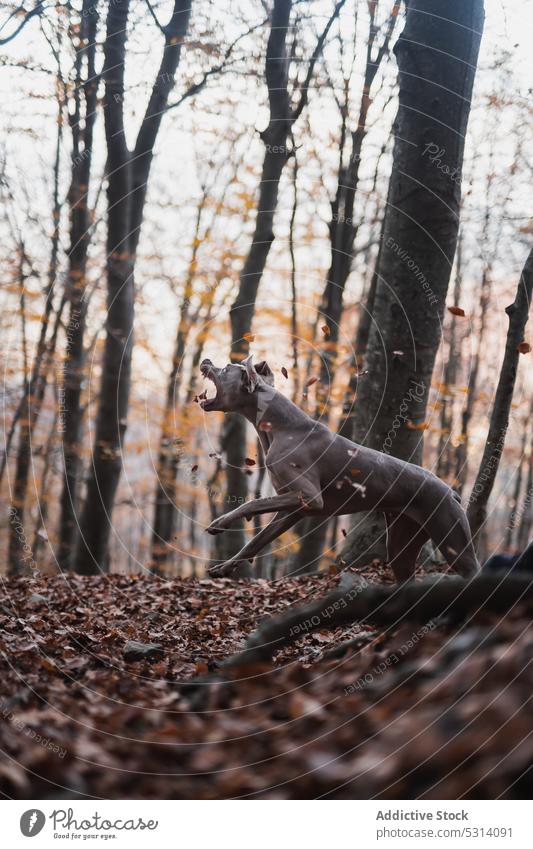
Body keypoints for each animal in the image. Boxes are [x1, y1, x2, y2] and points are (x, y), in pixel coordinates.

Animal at [198, 354, 478, 580]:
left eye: (226, 369)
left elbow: (252, 503)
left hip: (453, 540)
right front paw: (225, 566)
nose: (207, 359)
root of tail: (452, 492)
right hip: (402, 542)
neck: (281, 427)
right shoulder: (293, 509)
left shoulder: (310, 497)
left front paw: (221, 522)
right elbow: (256, 540)